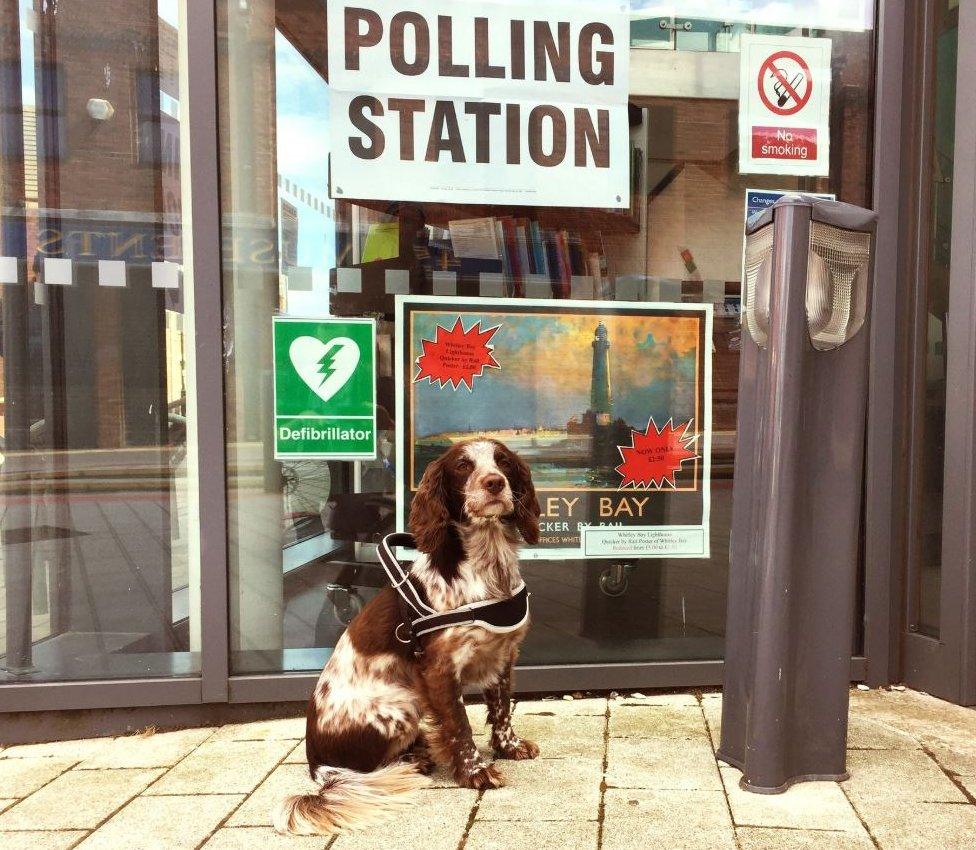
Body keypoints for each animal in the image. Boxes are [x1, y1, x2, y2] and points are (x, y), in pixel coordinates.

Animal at [276, 434, 540, 832]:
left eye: (504, 462)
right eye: (462, 466)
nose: (494, 482)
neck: (487, 565)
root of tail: (317, 764)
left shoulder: (503, 656)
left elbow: (502, 709)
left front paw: (508, 747)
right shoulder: (439, 669)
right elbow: (459, 724)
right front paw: (475, 772)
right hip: (399, 705)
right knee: (371, 766)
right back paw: (413, 761)